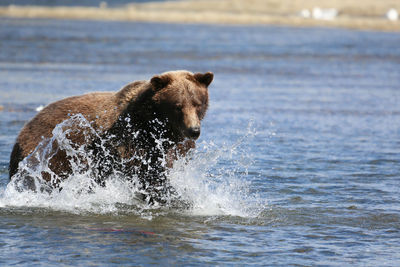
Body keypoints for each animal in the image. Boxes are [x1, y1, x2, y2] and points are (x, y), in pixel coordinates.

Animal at [8, 70, 212, 204]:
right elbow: (148, 174)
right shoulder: (130, 141)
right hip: (50, 154)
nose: (194, 130)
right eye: (178, 106)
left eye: (197, 103)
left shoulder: (174, 148)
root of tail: (22, 132)